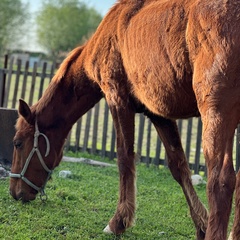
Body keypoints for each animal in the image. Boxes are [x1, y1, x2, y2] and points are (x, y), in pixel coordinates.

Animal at [8, 0, 240, 239]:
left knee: (221, 180)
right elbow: (178, 166)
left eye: (17, 143)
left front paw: (118, 222)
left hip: (217, 112)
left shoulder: (117, 99)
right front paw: (201, 224)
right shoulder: (157, 113)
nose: (15, 192)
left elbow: (124, 158)